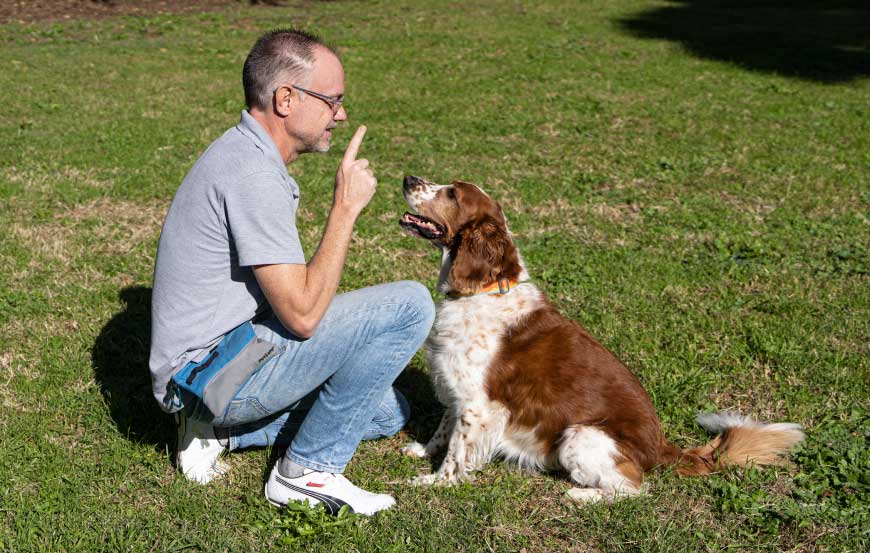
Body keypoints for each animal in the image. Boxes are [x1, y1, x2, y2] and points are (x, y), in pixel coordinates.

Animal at [398, 175, 808, 502]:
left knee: (633, 489)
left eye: (451, 193)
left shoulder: (479, 406)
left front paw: (434, 483)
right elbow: (444, 430)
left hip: (580, 435)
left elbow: (456, 453)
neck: (482, 290)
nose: (408, 177)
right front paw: (422, 451)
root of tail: (663, 448)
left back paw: (579, 496)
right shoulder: (457, 392)